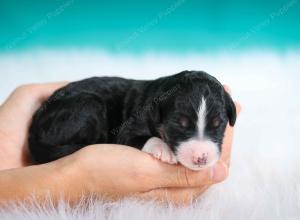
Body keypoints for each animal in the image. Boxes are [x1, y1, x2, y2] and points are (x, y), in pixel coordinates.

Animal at [29, 70, 237, 170]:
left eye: (218, 124)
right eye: (179, 124)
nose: (201, 158)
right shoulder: (128, 128)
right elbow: (139, 137)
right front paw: (163, 149)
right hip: (88, 104)